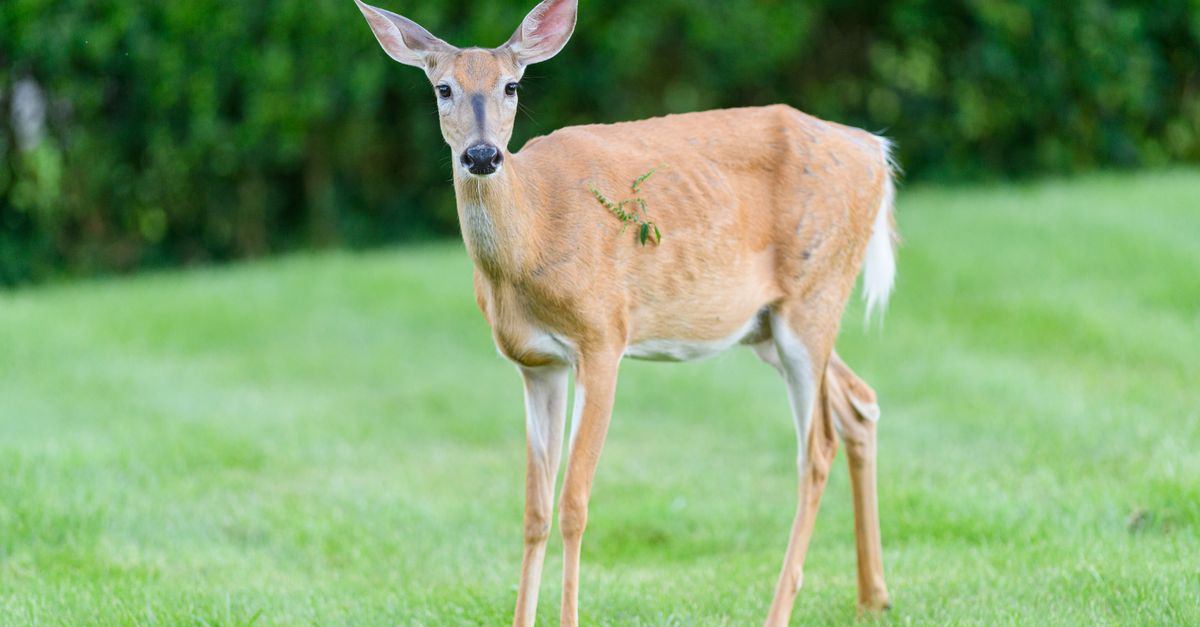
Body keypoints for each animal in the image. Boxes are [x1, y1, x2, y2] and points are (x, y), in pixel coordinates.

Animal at [354, 0, 896, 624]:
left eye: (512, 85)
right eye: (442, 88)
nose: (483, 155)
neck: (531, 242)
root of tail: (875, 151)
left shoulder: (603, 337)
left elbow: (574, 502)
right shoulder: (535, 363)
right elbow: (534, 509)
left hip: (814, 294)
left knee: (817, 448)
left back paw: (781, 608)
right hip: (768, 325)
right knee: (860, 403)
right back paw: (873, 596)